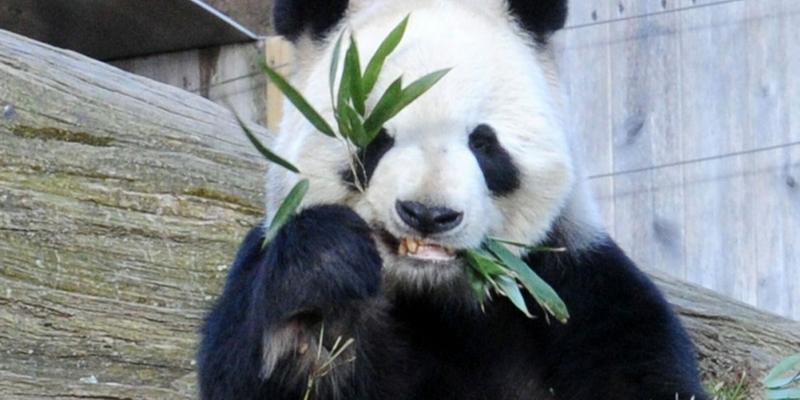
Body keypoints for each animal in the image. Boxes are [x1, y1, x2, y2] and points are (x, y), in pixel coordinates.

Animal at [197, 0, 708, 400]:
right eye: (375, 138)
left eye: (483, 143)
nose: (428, 214)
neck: (433, 294)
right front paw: (324, 270)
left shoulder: (571, 287)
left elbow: (640, 370)